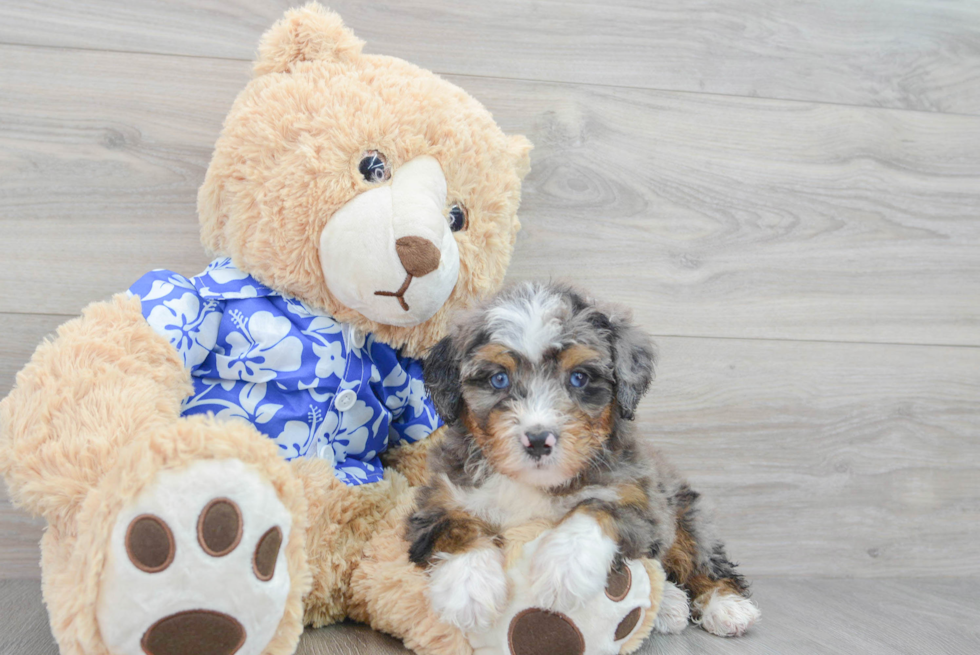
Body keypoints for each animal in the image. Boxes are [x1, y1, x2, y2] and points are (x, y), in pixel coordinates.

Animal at [406, 284, 756, 640]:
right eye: (499, 379)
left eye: (579, 377)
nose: (538, 440)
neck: (534, 484)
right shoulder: (437, 499)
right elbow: (456, 525)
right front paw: (469, 589)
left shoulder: (642, 498)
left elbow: (598, 507)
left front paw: (563, 569)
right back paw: (671, 604)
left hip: (686, 513)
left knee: (700, 558)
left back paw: (726, 605)